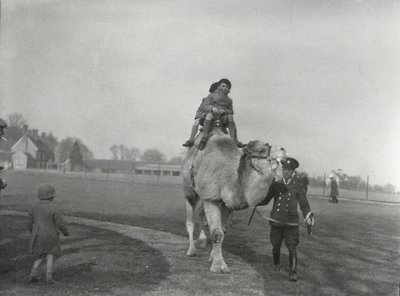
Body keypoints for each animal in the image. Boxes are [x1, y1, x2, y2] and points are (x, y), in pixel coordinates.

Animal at [181, 125, 288, 272]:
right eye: (261, 150)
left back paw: (202, 241)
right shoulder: (211, 197)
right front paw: (218, 266)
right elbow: (216, 233)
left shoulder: (226, 203)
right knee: (190, 219)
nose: (283, 151)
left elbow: (223, 231)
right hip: (189, 188)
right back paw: (191, 250)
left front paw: (214, 258)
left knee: (201, 214)